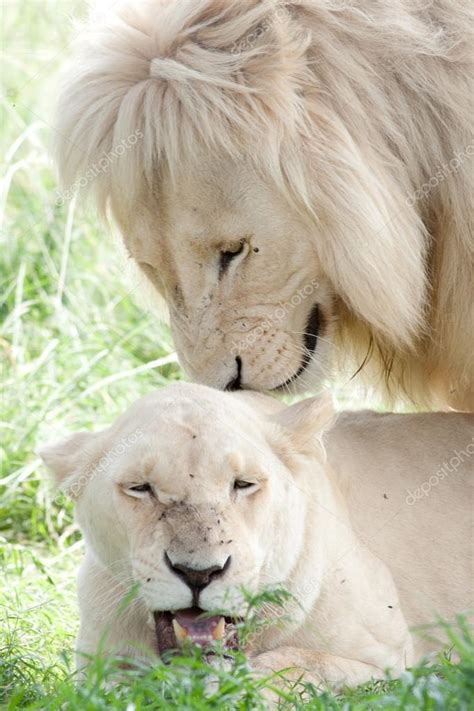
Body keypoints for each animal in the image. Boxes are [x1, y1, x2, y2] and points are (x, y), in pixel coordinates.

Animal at [41, 384, 474, 688]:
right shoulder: (97, 665)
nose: (198, 573)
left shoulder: (390, 664)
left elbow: (289, 664)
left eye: (243, 484)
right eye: (140, 488)